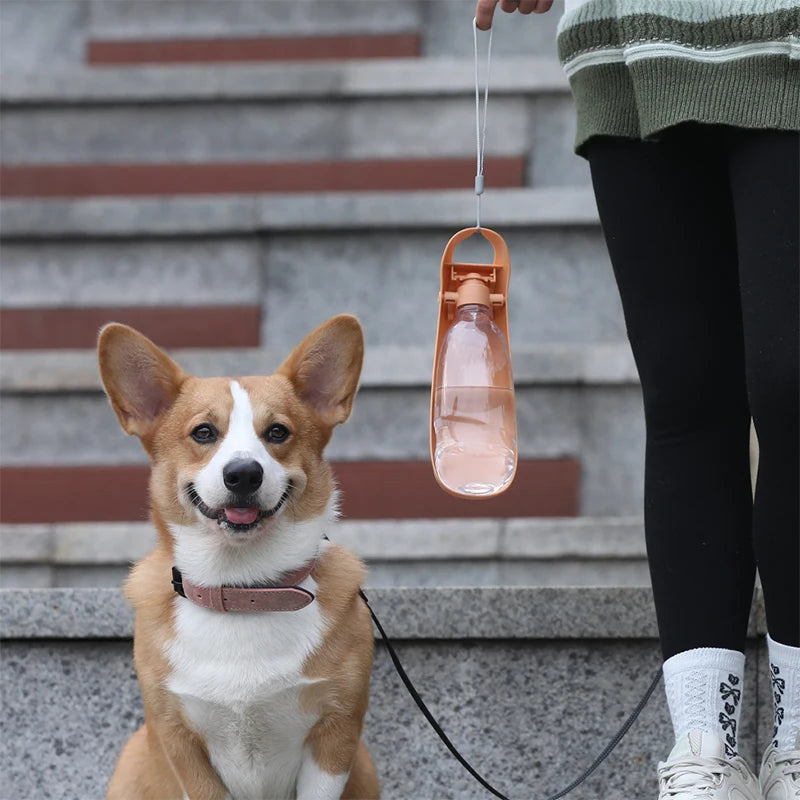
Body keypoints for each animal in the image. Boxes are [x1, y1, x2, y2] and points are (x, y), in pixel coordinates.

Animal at [98, 316, 380, 800]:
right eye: (204, 433)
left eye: (278, 432)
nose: (244, 474)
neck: (243, 585)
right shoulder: (180, 740)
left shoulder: (336, 734)